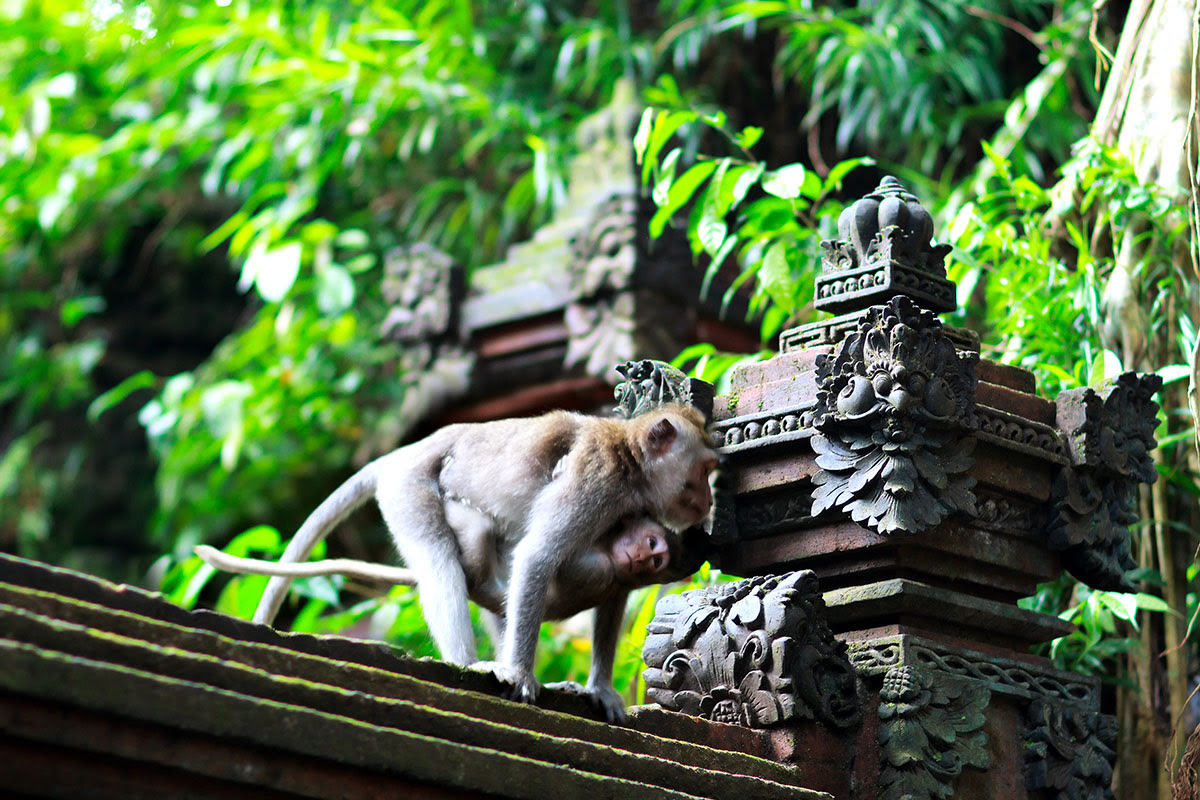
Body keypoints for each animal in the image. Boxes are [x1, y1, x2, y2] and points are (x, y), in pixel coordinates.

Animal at [246, 402, 710, 724]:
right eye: (703, 471)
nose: (708, 501)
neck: (631, 462)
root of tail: (407, 451)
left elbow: (611, 595)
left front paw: (600, 688)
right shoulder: (595, 483)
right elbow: (538, 556)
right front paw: (520, 675)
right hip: (408, 488)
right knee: (440, 561)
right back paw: (470, 665)